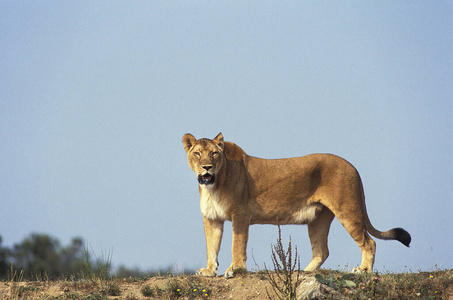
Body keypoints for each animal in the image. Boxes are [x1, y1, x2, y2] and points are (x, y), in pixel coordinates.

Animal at [181, 132, 410, 278]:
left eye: (214, 153)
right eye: (197, 153)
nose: (207, 167)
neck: (214, 185)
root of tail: (352, 166)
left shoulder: (240, 214)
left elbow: (237, 244)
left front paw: (235, 269)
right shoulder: (212, 218)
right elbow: (211, 246)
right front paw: (209, 271)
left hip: (348, 210)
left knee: (369, 242)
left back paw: (363, 271)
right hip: (318, 219)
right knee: (321, 250)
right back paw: (304, 272)